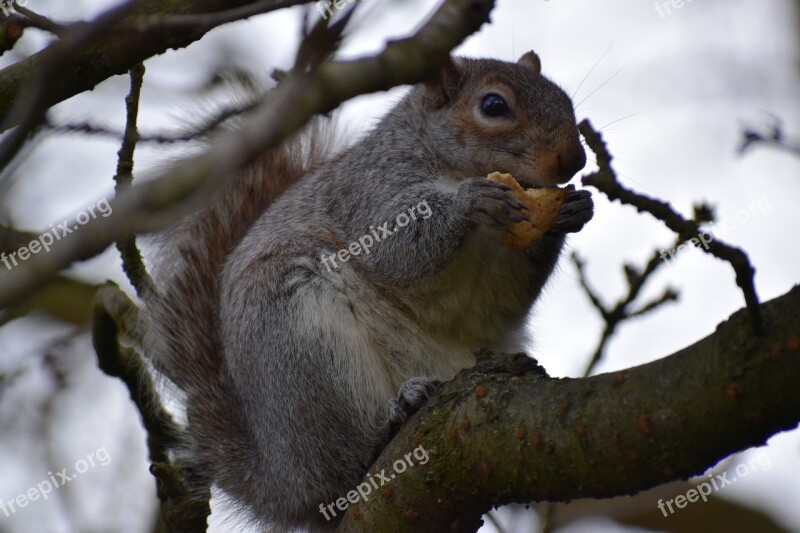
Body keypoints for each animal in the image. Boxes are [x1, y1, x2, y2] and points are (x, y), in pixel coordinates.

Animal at [144, 51, 592, 532]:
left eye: (565, 99)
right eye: (493, 105)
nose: (574, 157)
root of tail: (284, 483)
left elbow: (503, 298)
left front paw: (572, 209)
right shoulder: (370, 189)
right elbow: (395, 247)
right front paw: (469, 201)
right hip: (303, 347)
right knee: (344, 463)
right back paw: (392, 421)